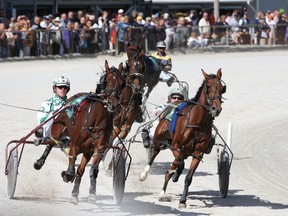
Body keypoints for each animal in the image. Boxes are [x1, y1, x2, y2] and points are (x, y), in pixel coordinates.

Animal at [140, 69, 227, 208]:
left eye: (221, 88)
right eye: (208, 87)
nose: (216, 109)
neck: (197, 123)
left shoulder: (197, 153)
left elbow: (188, 177)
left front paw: (182, 200)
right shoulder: (175, 146)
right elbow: (180, 164)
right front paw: (175, 175)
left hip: (184, 151)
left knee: (171, 168)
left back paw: (163, 191)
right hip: (159, 139)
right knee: (154, 152)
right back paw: (145, 173)